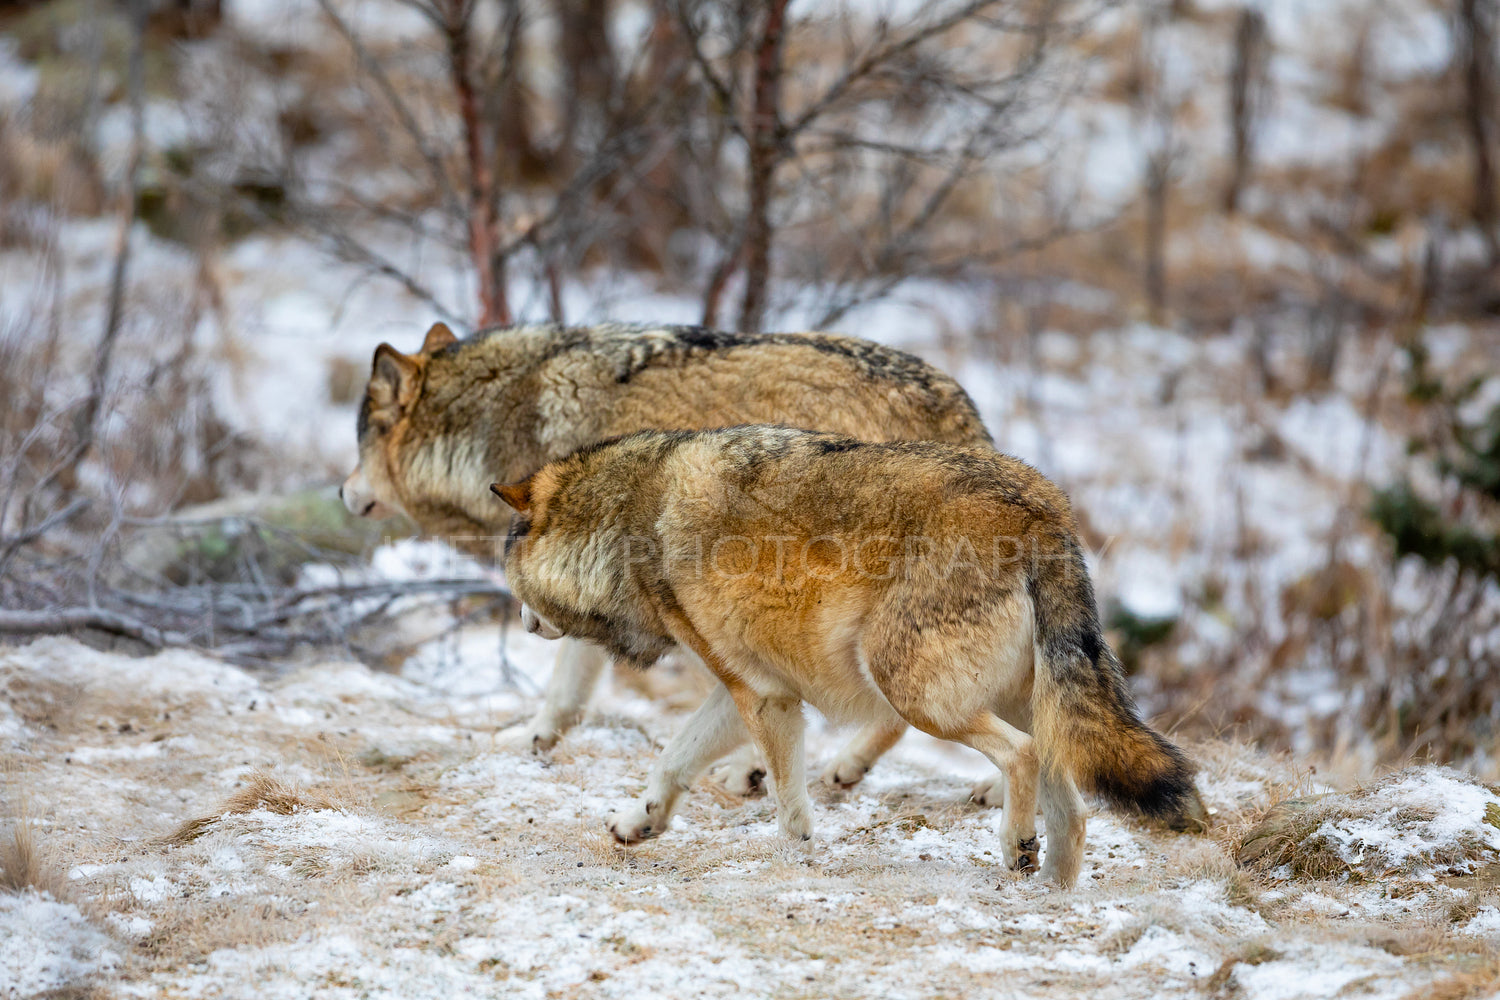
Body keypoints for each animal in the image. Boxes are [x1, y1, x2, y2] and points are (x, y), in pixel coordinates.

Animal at [340, 320, 996, 797]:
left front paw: (530, 737)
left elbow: (570, 678)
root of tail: (951, 400)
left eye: (362, 441)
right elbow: (574, 688)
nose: (341, 493)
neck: (492, 416)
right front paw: (538, 741)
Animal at [498, 425, 1200, 887]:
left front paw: (797, 857)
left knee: (1021, 757)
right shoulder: (749, 689)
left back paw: (1017, 847)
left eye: (510, 583)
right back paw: (1050, 887)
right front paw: (636, 824)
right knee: (1075, 809)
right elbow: (672, 762)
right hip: (1026, 703)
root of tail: (1040, 509)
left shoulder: (766, 700)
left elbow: (787, 804)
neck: (628, 522)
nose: (524, 624)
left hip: (914, 692)